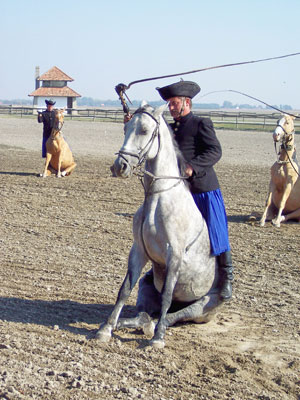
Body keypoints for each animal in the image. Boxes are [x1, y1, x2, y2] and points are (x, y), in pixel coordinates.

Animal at [96, 102, 223, 346]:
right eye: (125, 128)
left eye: (144, 130)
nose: (120, 166)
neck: (158, 197)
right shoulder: (138, 250)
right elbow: (125, 289)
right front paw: (106, 328)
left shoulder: (174, 256)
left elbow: (167, 295)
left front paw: (158, 339)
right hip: (147, 286)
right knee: (144, 313)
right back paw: (132, 323)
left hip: (202, 306)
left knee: (173, 314)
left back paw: (156, 328)